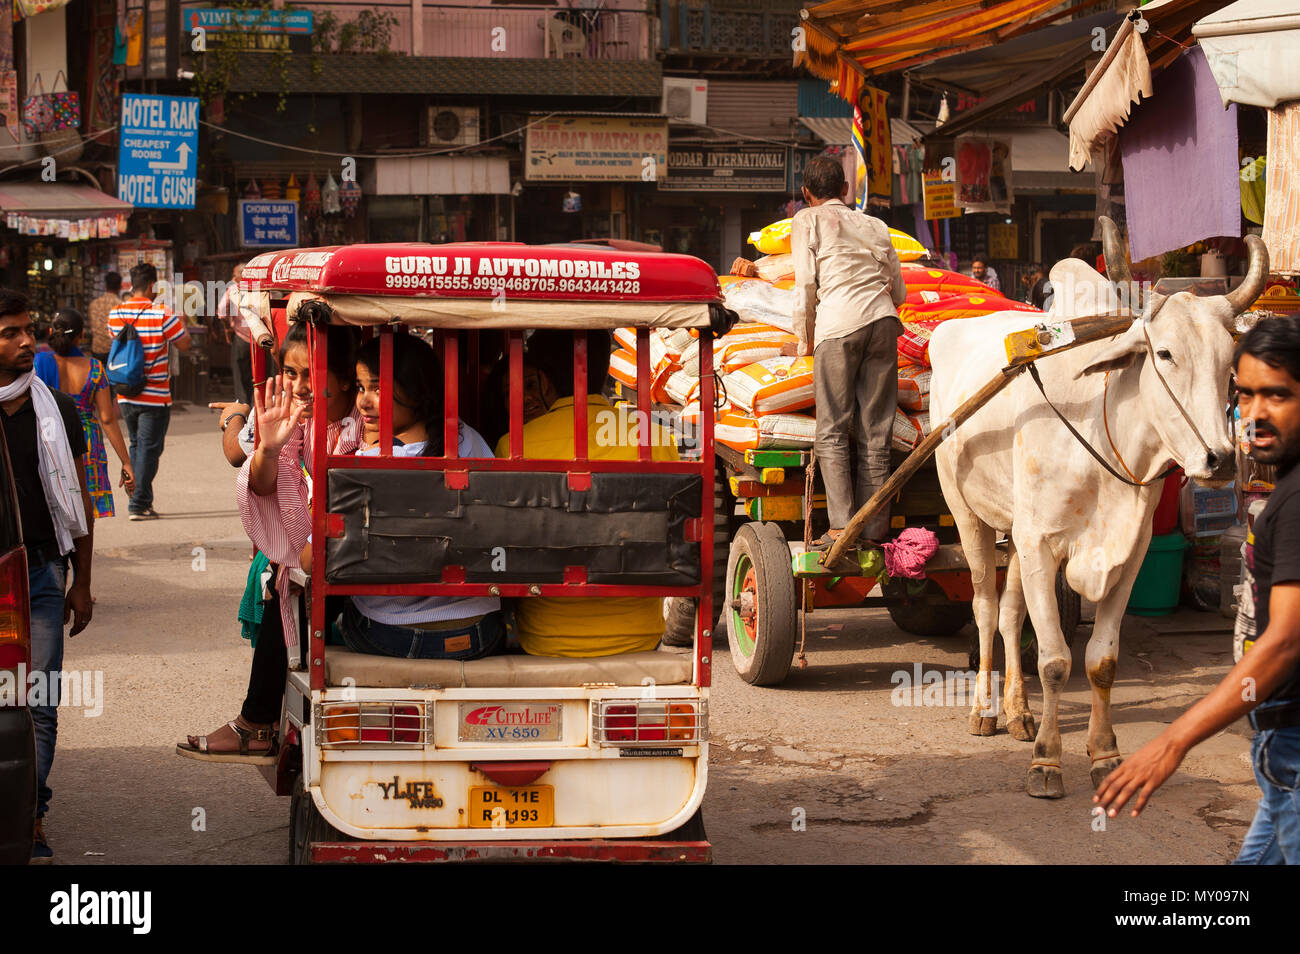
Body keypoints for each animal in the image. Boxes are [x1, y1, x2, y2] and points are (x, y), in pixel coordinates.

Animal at [930, 223, 1263, 800]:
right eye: (1165, 353)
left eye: (1229, 361)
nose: (1219, 459)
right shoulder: (1041, 545)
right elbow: (1056, 661)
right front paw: (1047, 762)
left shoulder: (1126, 555)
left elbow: (1100, 662)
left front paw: (1104, 755)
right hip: (966, 510)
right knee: (986, 607)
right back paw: (984, 710)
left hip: (1014, 530)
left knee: (1011, 613)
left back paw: (1018, 712)